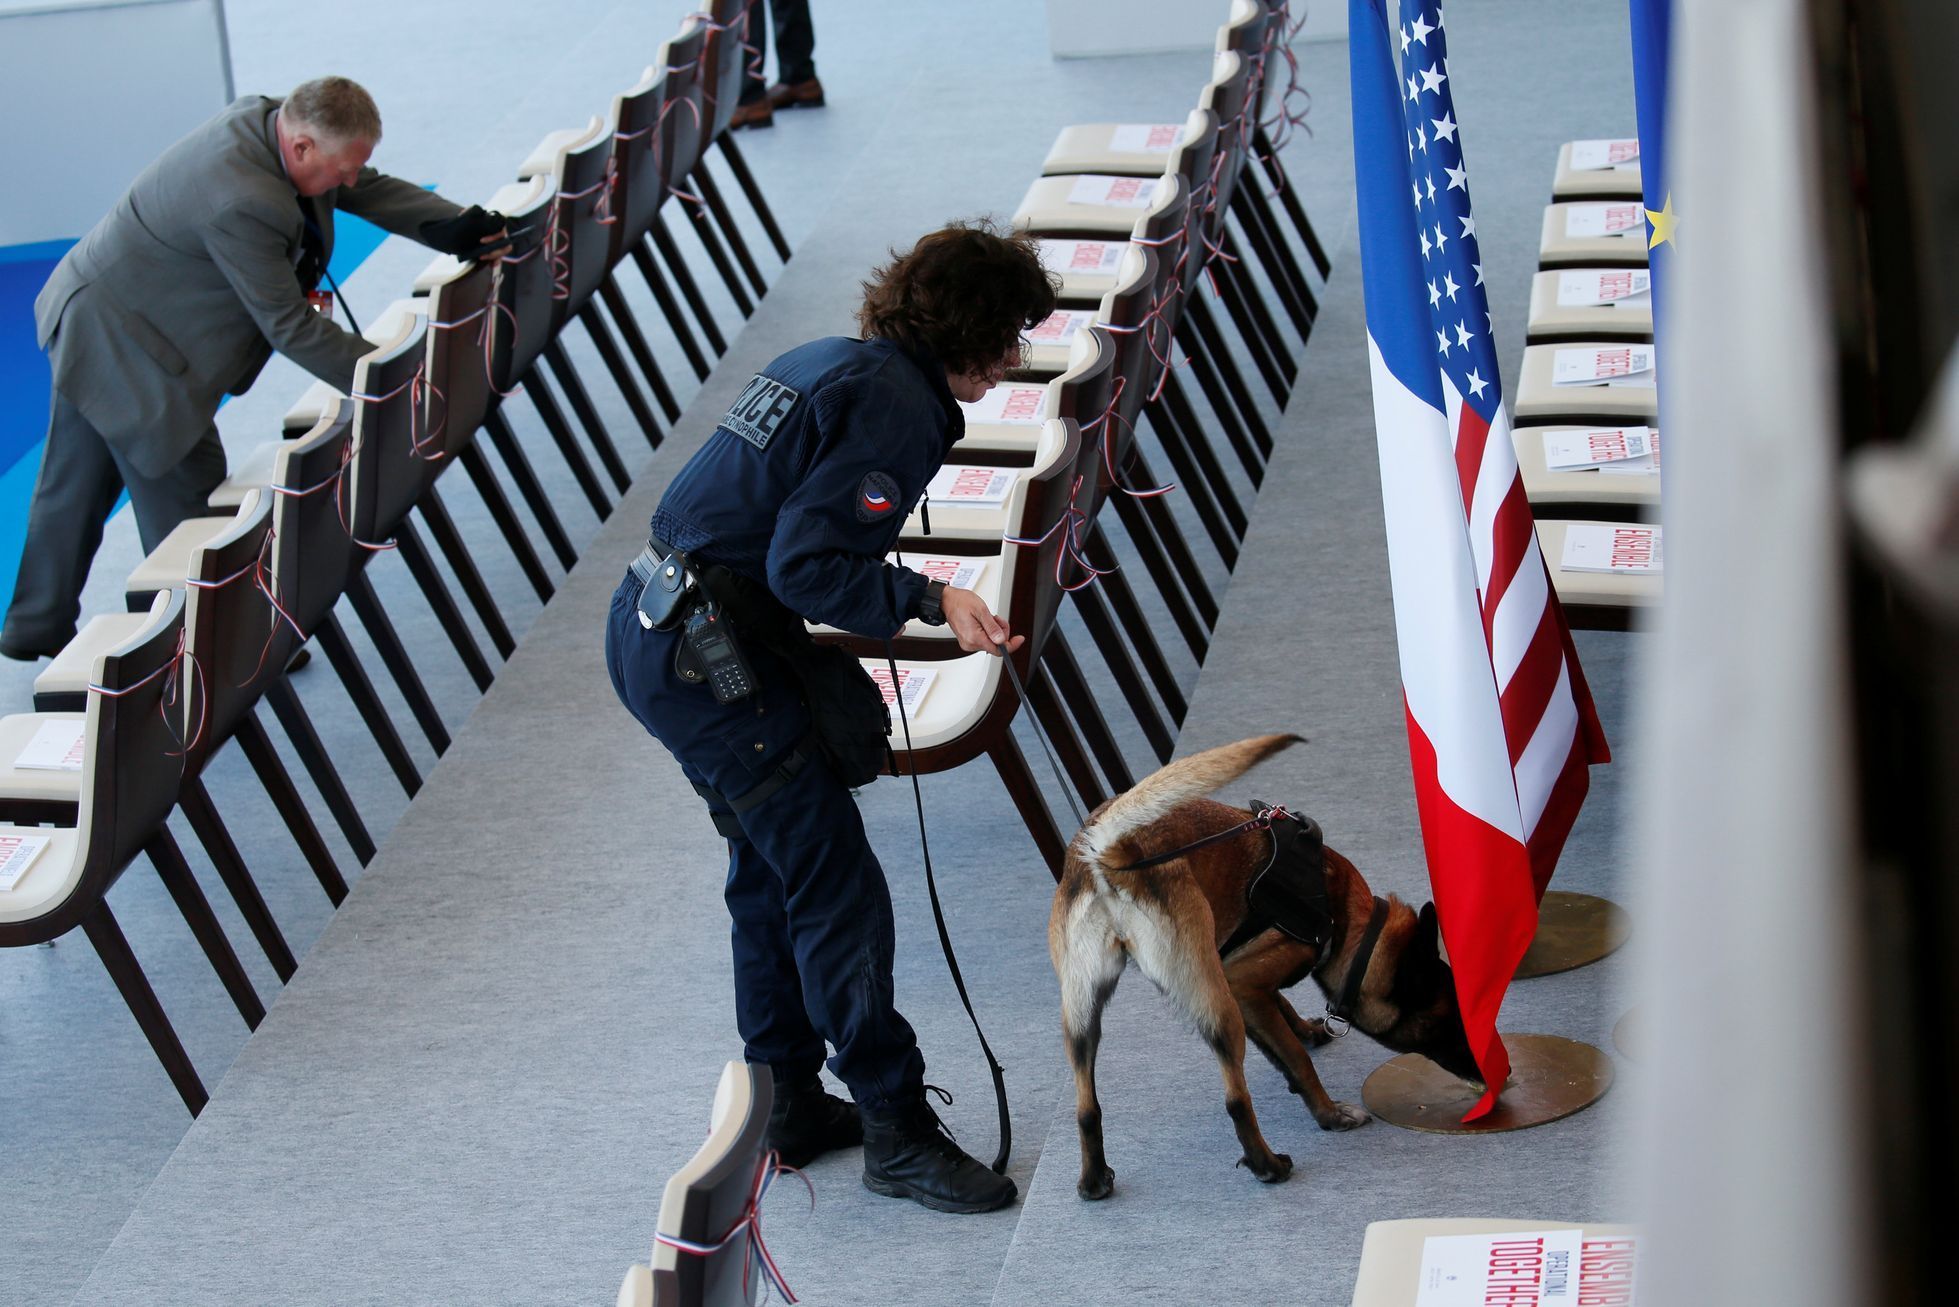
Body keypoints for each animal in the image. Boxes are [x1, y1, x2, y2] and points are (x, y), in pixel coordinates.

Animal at [1050, 736, 1473, 1199]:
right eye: (1446, 1020)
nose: (1492, 1072)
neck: (1345, 916)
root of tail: (1111, 855)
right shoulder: (1242, 983)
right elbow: (1298, 1060)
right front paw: (1327, 1113)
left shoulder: (1244, 981)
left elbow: (1283, 1021)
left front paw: (1304, 1032)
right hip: (1216, 1008)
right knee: (1236, 1099)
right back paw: (1267, 1165)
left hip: (1083, 1016)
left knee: (1085, 1107)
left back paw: (1093, 1180)